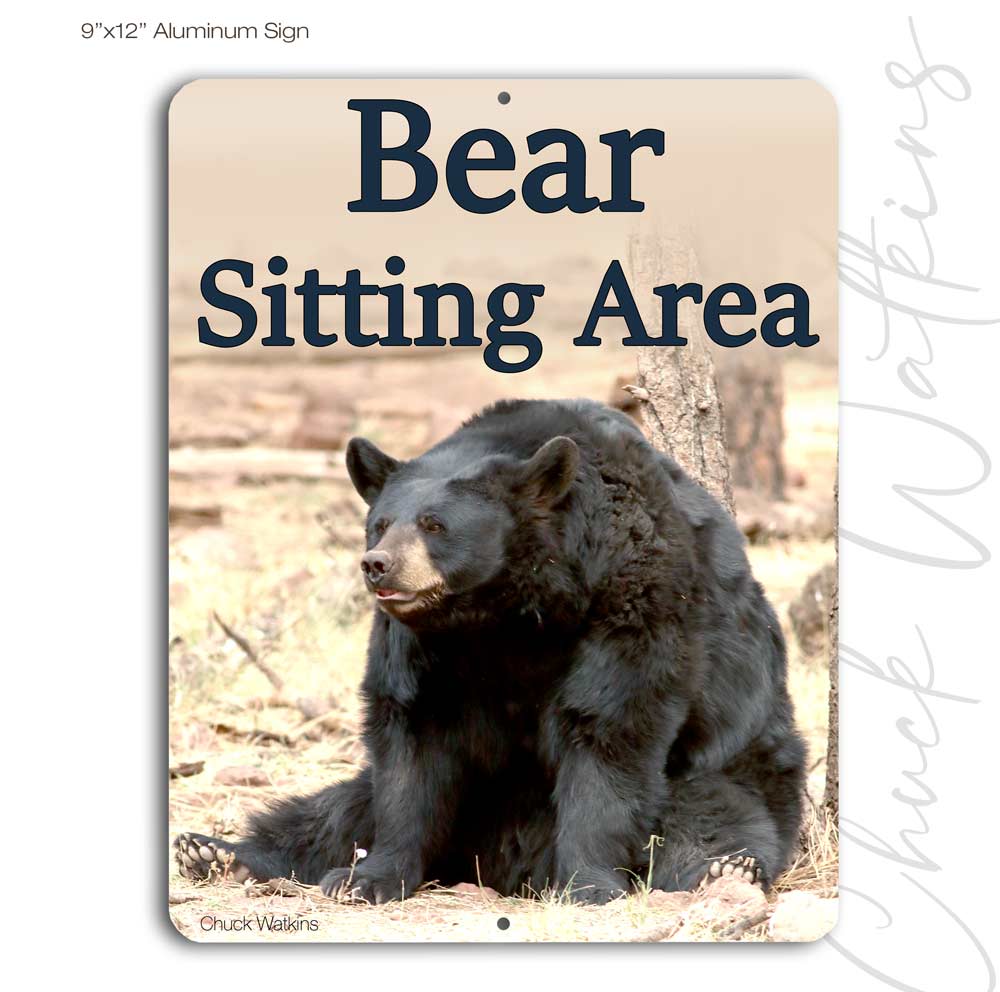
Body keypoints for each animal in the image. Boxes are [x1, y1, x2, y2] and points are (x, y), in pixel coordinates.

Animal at [174, 398, 806, 904]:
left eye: (434, 525)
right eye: (379, 523)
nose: (378, 565)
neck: (507, 612)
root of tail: (500, 867)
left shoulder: (635, 595)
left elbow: (609, 728)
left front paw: (588, 885)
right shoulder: (422, 643)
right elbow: (409, 747)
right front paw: (368, 878)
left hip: (737, 761)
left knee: (715, 818)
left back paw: (725, 869)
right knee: (329, 813)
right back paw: (214, 853)